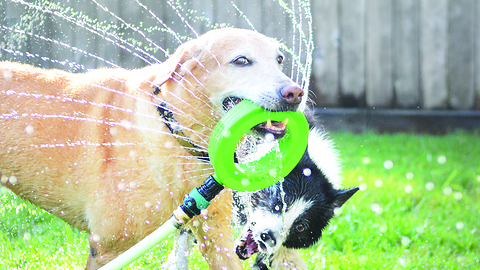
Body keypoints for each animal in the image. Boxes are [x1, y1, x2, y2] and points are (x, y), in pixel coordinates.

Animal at [0, 27, 306, 268]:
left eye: (279, 59)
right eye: (241, 60)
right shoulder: (108, 247)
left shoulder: (214, 233)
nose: (295, 93)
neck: (174, 131)